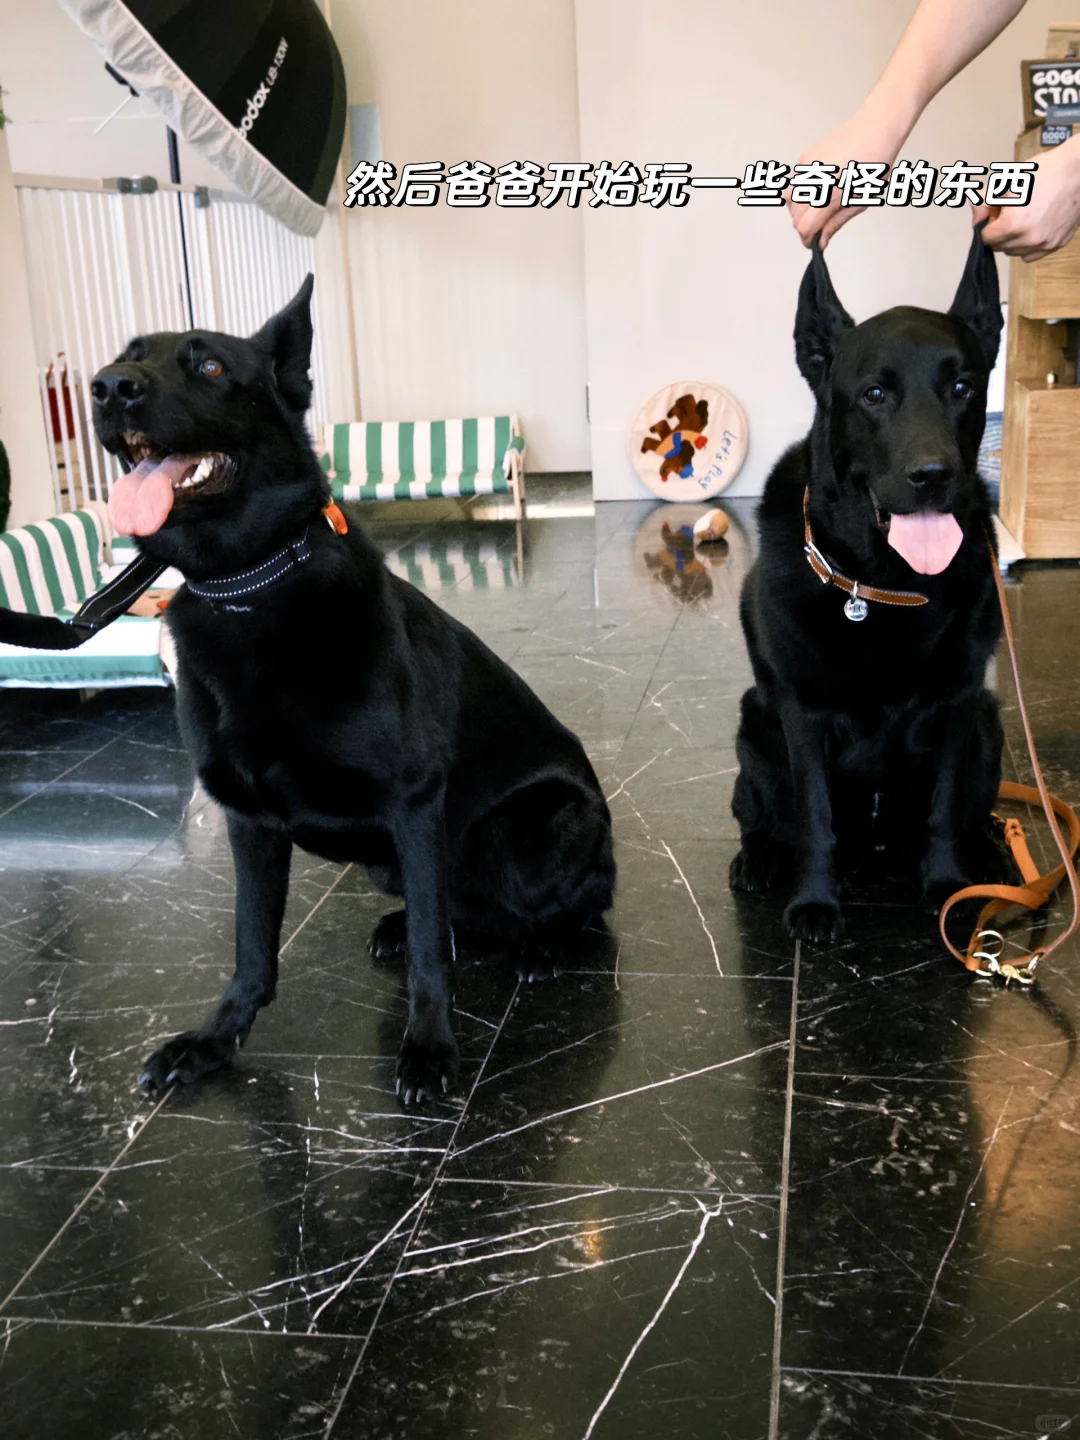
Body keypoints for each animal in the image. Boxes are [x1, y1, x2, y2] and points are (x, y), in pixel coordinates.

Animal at [90, 278, 615, 1103]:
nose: (109, 387)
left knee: (574, 908)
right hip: (393, 861)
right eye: (127, 354)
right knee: (462, 914)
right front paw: (215, 1041)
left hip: (535, 830)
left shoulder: (414, 805)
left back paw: (545, 945)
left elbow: (434, 956)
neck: (249, 585)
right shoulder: (250, 823)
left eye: (209, 367)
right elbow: (251, 948)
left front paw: (429, 1048)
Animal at [729, 226, 1006, 942]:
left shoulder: (958, 703)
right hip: (754, 730)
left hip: (989, 725)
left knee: (965, 813)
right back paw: (760, 860)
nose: (933, 476)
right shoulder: (802, 714)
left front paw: (946, 885)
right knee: (763, 819)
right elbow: (816, 819)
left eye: (962, 387)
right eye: (874, 396)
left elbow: (942, 808)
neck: (885, 584)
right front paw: (815, 901)